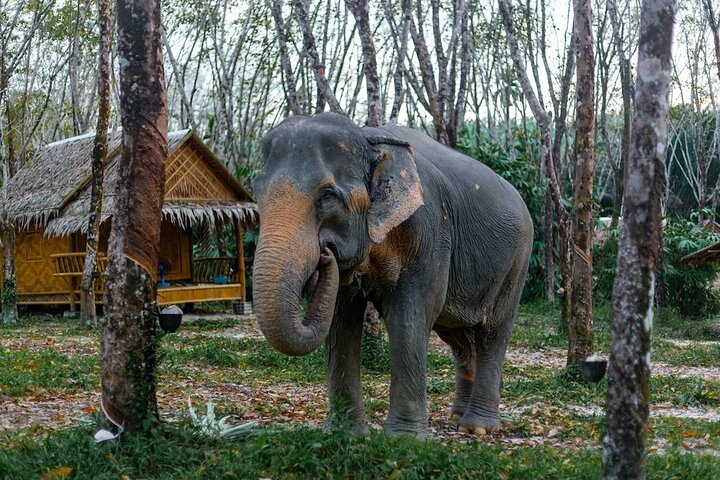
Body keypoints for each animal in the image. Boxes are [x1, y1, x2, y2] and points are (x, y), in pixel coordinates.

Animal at [253, 112, 536, 436]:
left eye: (327, 196)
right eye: (256, 192)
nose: (324, 253)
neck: (369, 139)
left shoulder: (429, 230)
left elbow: (409, 314)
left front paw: (404, 437)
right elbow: (341, 320)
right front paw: (345, 432)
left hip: (517, 260)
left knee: (493, 332)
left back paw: (476, 428)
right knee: (458, 337)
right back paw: (457, 416)